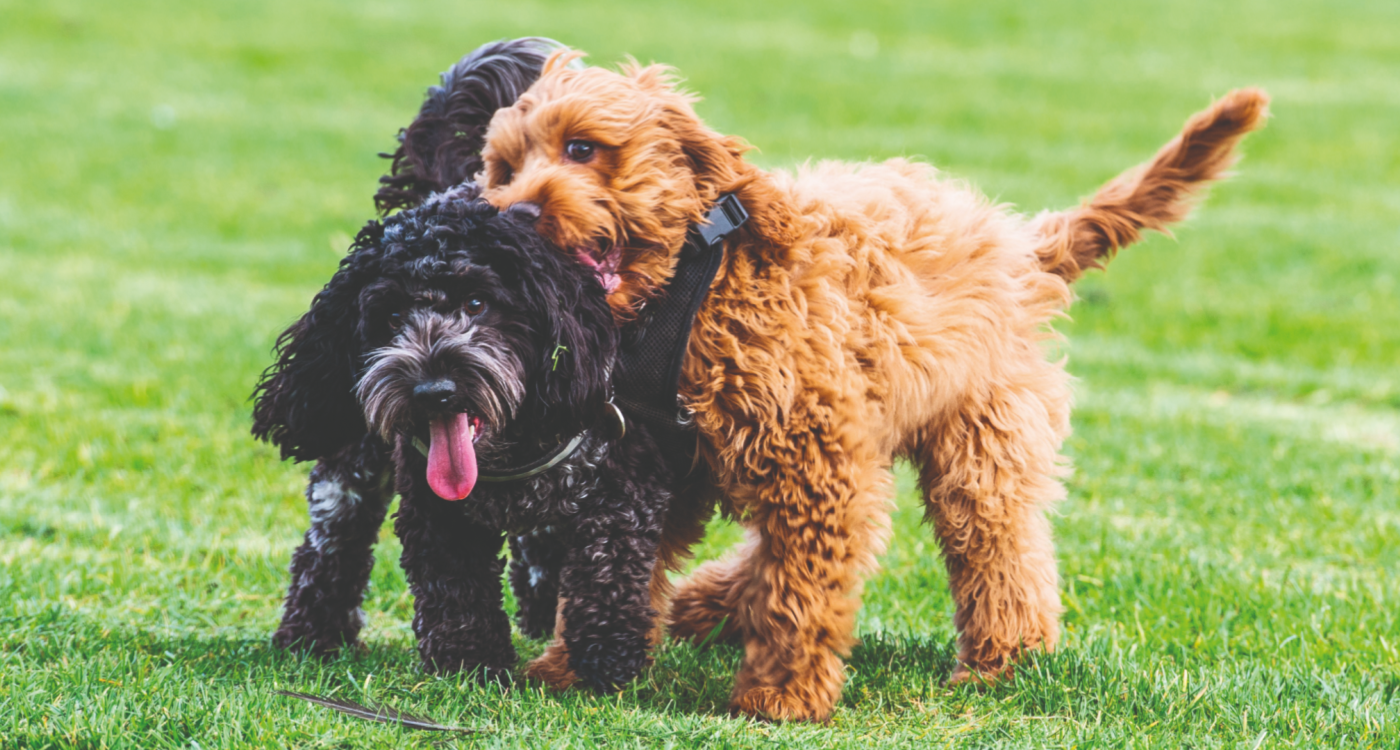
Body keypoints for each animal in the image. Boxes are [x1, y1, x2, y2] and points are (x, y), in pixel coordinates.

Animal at [253, 181, 677, 691]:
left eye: (477, 303)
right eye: (392, 315)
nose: (435, 392)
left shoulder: (622, 482)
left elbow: (607, 565)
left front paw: (606, 658)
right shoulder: (437, 511)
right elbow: (456, 587)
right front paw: (469, 663)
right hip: (351, 472)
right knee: (331, 543)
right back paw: (310, 634)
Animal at [478, 48, 1271, 722]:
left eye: (584, 148)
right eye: (505, 168)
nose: (518, 213)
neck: (697, 285)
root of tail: (1024, 248)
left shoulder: (813, 459)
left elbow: (802, 588)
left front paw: (782, 696)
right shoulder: (658, 467)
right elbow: (614, 568)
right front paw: (574, 667)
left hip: (979, 447)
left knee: (1000, 554)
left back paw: (1002, 662)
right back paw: (711, 603)